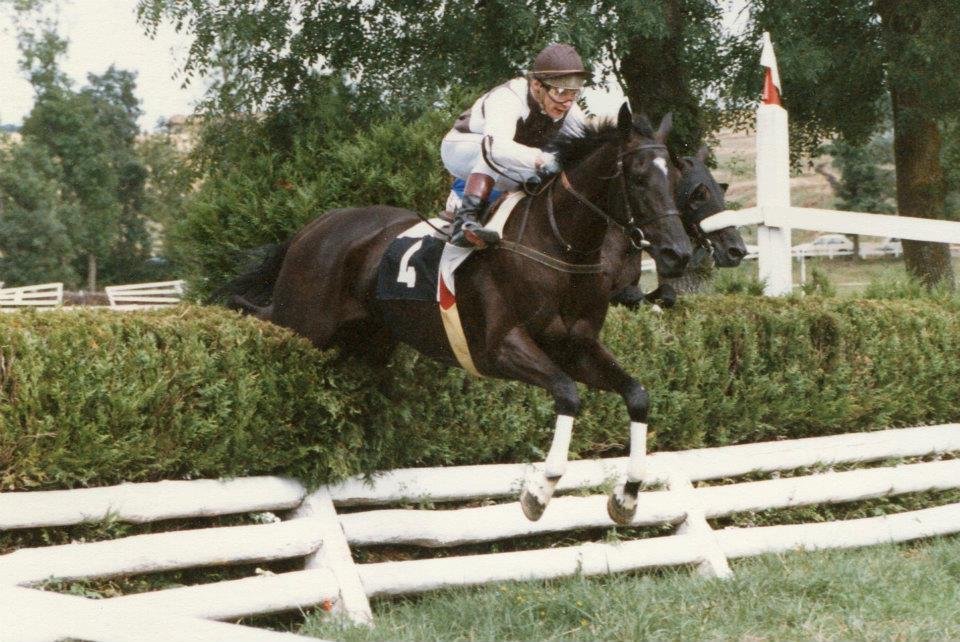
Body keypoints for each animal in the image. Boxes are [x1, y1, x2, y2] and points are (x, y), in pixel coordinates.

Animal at [219, 105, 692, 525]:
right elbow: (567, 393)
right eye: (638, 177)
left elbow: (637, 395)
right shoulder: (500, 347)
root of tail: (312, 227)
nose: (678, 253)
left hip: (365, 344)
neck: (561, 248)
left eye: (677, 179)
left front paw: (627, 496)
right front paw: (539, 492)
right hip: (303, 325)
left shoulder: (577, 346)